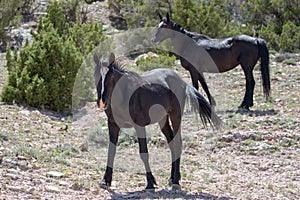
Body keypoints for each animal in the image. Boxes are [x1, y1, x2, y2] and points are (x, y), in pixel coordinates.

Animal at [94, 52, 223, 191]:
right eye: (96, 74)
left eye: (111, 76)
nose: (102, 102)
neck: (124, 95)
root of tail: (182, 81)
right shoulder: (112, 125)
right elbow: (111, 151)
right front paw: (105, 180)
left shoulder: (139, 126)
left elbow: (144, 153)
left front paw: (150, 183)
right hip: (163, 120)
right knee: (171, 144)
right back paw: (172, 178)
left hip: (175, 116)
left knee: (177, 144)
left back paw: (176, 181)